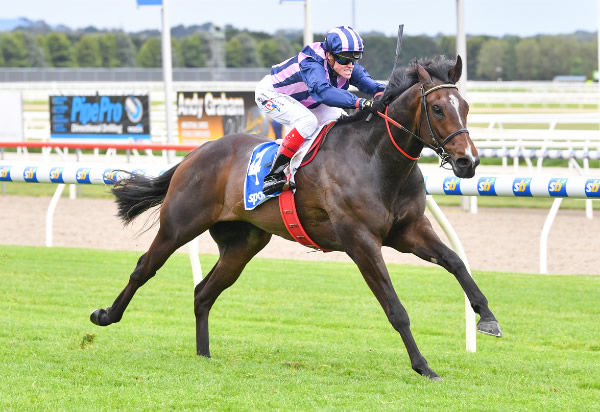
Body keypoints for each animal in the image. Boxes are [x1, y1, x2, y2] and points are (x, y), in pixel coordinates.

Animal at [89, 54, 502, 380]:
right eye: (438, 109)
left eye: (465, 106)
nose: (468, 162)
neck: (376, 160)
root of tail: (197, 152)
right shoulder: (361, 242)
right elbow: (395, 308)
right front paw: (423, 366)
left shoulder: (409, 231)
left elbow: (455, 262)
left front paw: (487, 317)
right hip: (179, 225)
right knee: (144, 269)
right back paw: (105, 315)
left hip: (243, 244)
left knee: (203, 292)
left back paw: (203, 353)